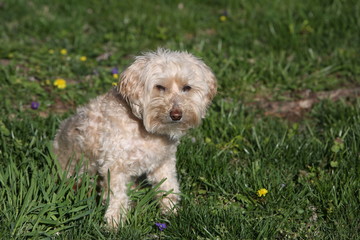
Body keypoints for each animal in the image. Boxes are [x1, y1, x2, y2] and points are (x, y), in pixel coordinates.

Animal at [52, 48, 217, 227]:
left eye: (187, 87)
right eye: (160, 87)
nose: (176, 114)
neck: (146, 130)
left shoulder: (163, 162)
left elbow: (168, 186)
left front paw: (171, 211)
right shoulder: (114, 166)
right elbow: (117, 195)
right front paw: (114, 222)